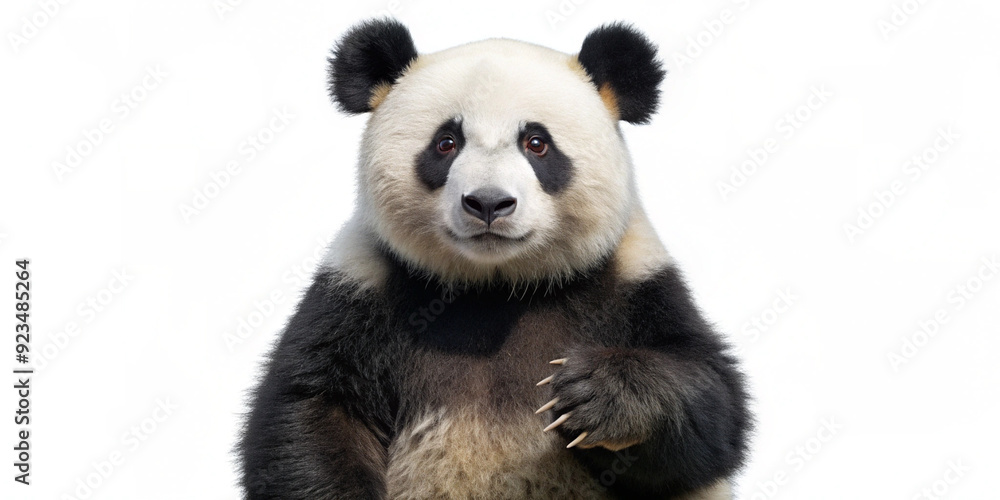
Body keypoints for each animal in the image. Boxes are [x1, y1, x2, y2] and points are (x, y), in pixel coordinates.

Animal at [239, 19, 751, 500]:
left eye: (537, 143)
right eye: (446, 142)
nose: (488, 203)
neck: (496, 286)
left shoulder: (632, 279)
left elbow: (713, 408)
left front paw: (595, 395)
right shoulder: (363, 283)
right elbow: (313, 411)